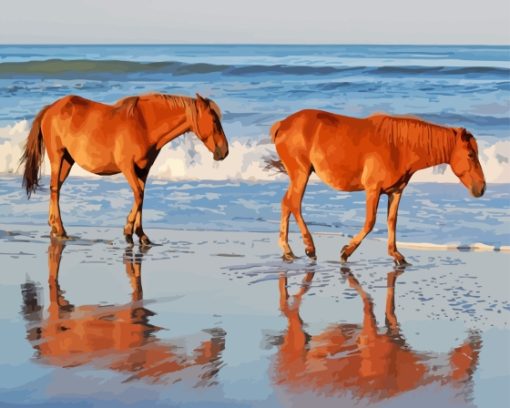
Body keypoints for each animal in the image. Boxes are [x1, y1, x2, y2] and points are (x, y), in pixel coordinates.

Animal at [19, 93, 227, 242]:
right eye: (214, 121)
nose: (224, 151)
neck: (144, 125)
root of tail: (50, 109)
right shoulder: (127, 167)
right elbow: (138, 194)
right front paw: (128, 230)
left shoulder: (143, 170)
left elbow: (141, 196)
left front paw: (141, 234)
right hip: (58, 157)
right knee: (55, 189)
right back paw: (60, 230)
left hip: (68, 160)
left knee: (56, 189)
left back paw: (54, 226)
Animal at [266, 111, 486, 264]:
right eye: (470, 154)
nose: (481, 188)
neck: (399, 147)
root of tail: (282, 124)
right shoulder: (373, 190)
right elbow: (370, 222)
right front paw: (346, 252)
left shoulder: (395, 192)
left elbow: (392, 222)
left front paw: (396, 255)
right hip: (301, 174)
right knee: (294, 204)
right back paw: (309, 248)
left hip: (298, 176)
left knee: (286, 203)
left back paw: (288, 251)